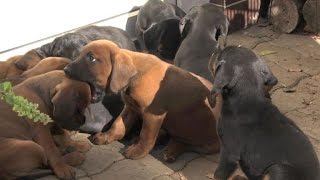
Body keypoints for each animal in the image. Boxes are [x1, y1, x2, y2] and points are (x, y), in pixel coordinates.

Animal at [63, 39, 221, 162]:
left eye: (91, 58)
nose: (65, 70)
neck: (135, 77)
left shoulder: (153, 115)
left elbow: (146, 135)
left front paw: (137, 151)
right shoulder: (130, 107)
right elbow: (118, 125)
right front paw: (107, 136)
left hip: (204, 143)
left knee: (187, 143)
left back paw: (169, 149)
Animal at [209, 45, 318, 179]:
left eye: (220, 55)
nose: (217, 47)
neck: (248, 95)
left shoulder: (229, 151)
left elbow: (218, 174)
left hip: (278, 169)